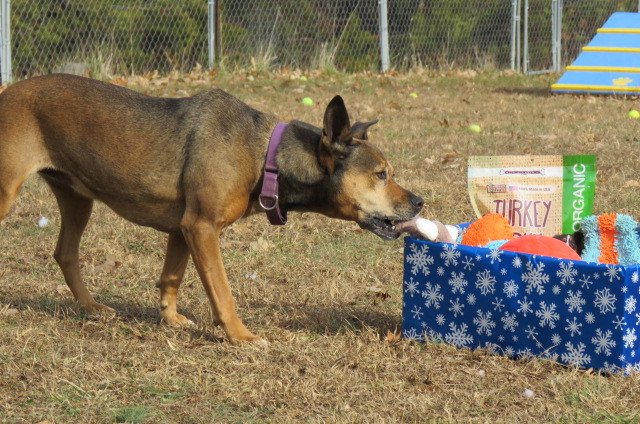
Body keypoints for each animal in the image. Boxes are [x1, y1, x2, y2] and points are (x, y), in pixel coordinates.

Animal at [0, 73, 424, 344]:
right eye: (381, 174)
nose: (421, 202)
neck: (264, 156)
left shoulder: (182, 229)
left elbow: (171, 278)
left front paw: (171, 319)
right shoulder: (201, 227)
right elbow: (222, 291)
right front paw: (240, 336)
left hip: (77, 198)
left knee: (65, 253)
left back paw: (91, 308)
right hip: (8, 193)